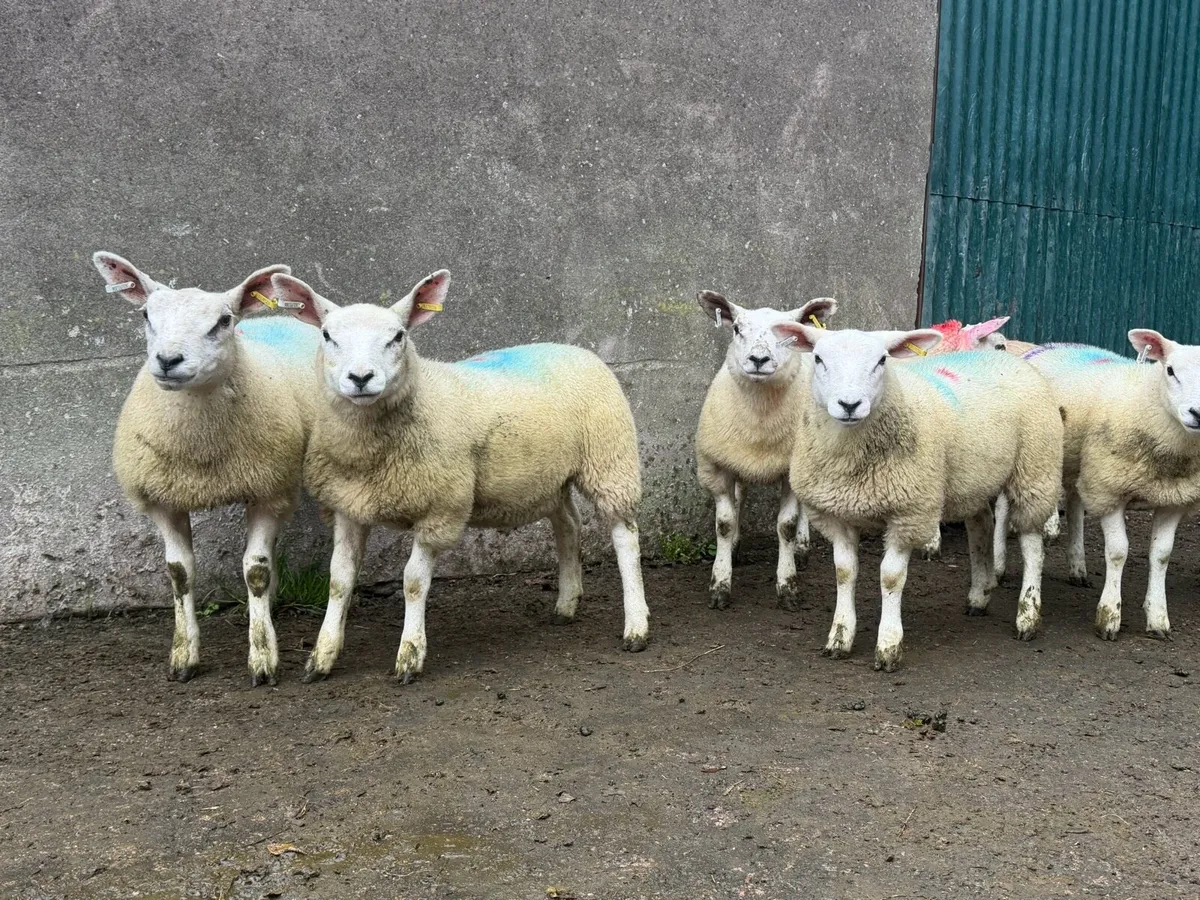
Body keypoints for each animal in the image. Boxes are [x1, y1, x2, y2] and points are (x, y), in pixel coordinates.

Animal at [93, 252, 319, 685]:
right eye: (146, 315)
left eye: (223, 320)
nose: (168, 361)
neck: (202, 454)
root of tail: (269, 319)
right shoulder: (163, 500)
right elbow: (179, 573)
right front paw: (183, 657)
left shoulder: (268, 491)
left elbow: (255, 572)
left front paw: (263, 658)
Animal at [269, 270, 650, 683]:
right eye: (327, 335)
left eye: (398, 336)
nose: (360, 377)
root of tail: (576, 349)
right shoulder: (348, 506)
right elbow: (339, 581)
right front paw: (321, 658)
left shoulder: (440, 509)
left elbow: (413, 583)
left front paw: (409, 655)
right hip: (549, 477)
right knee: (568, 524)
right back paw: (566, 604)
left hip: (609, 459)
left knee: (625, 537)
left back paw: (636, 626)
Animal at [694, 290, 837, 611]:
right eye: (736, 329)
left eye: (788, 334)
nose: (758, 359)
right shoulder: (717, 468)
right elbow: (724, 523)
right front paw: (720, 584)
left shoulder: (789, 470)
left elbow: (786, 525)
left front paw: (787, 586)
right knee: (740, 496)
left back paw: (802, 549)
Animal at [769, 323, 1063, 671]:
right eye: (818, 358)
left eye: (882, 360)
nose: (850, 404)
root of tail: (1010, 359)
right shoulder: (836, 514)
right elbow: (844, 572)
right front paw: (840, 637)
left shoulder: (908, 513)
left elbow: (891, 577)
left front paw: (888, 645)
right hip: (972, 478)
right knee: (981, 525)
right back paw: (979, 595)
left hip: (1034, 468)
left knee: (1032, 545)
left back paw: (1027, 616)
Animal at [1022, 333, 1200, 640]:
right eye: (1170, 370)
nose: (1198, 414)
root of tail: (1051, 345)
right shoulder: (1109, 490)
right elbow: (1118, 552)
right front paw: (1109, 617)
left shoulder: (1172, 500)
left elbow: (1161, 556)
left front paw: (1158, 618)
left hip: (1077, 465)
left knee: (1074, 503)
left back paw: (1077, 567)